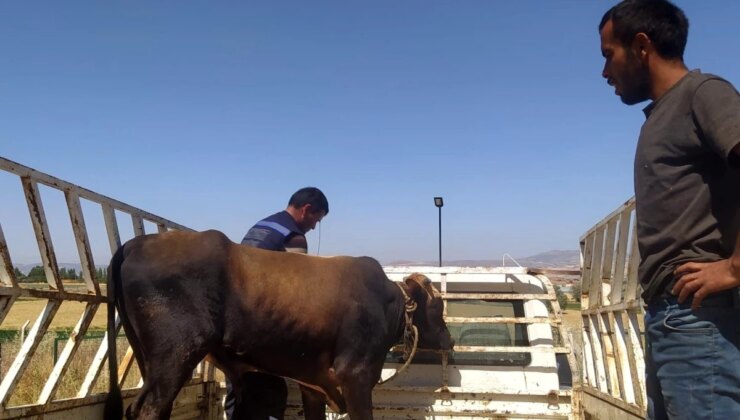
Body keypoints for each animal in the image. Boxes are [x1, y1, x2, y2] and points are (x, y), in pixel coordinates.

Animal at [103, 230, 450, 420]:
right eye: (438, 306)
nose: (448, 339)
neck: (386, 302)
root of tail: (135, 244)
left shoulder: (314, 383)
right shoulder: (356, 376)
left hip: (153, 362)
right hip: (176, 356)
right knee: (149, 409)